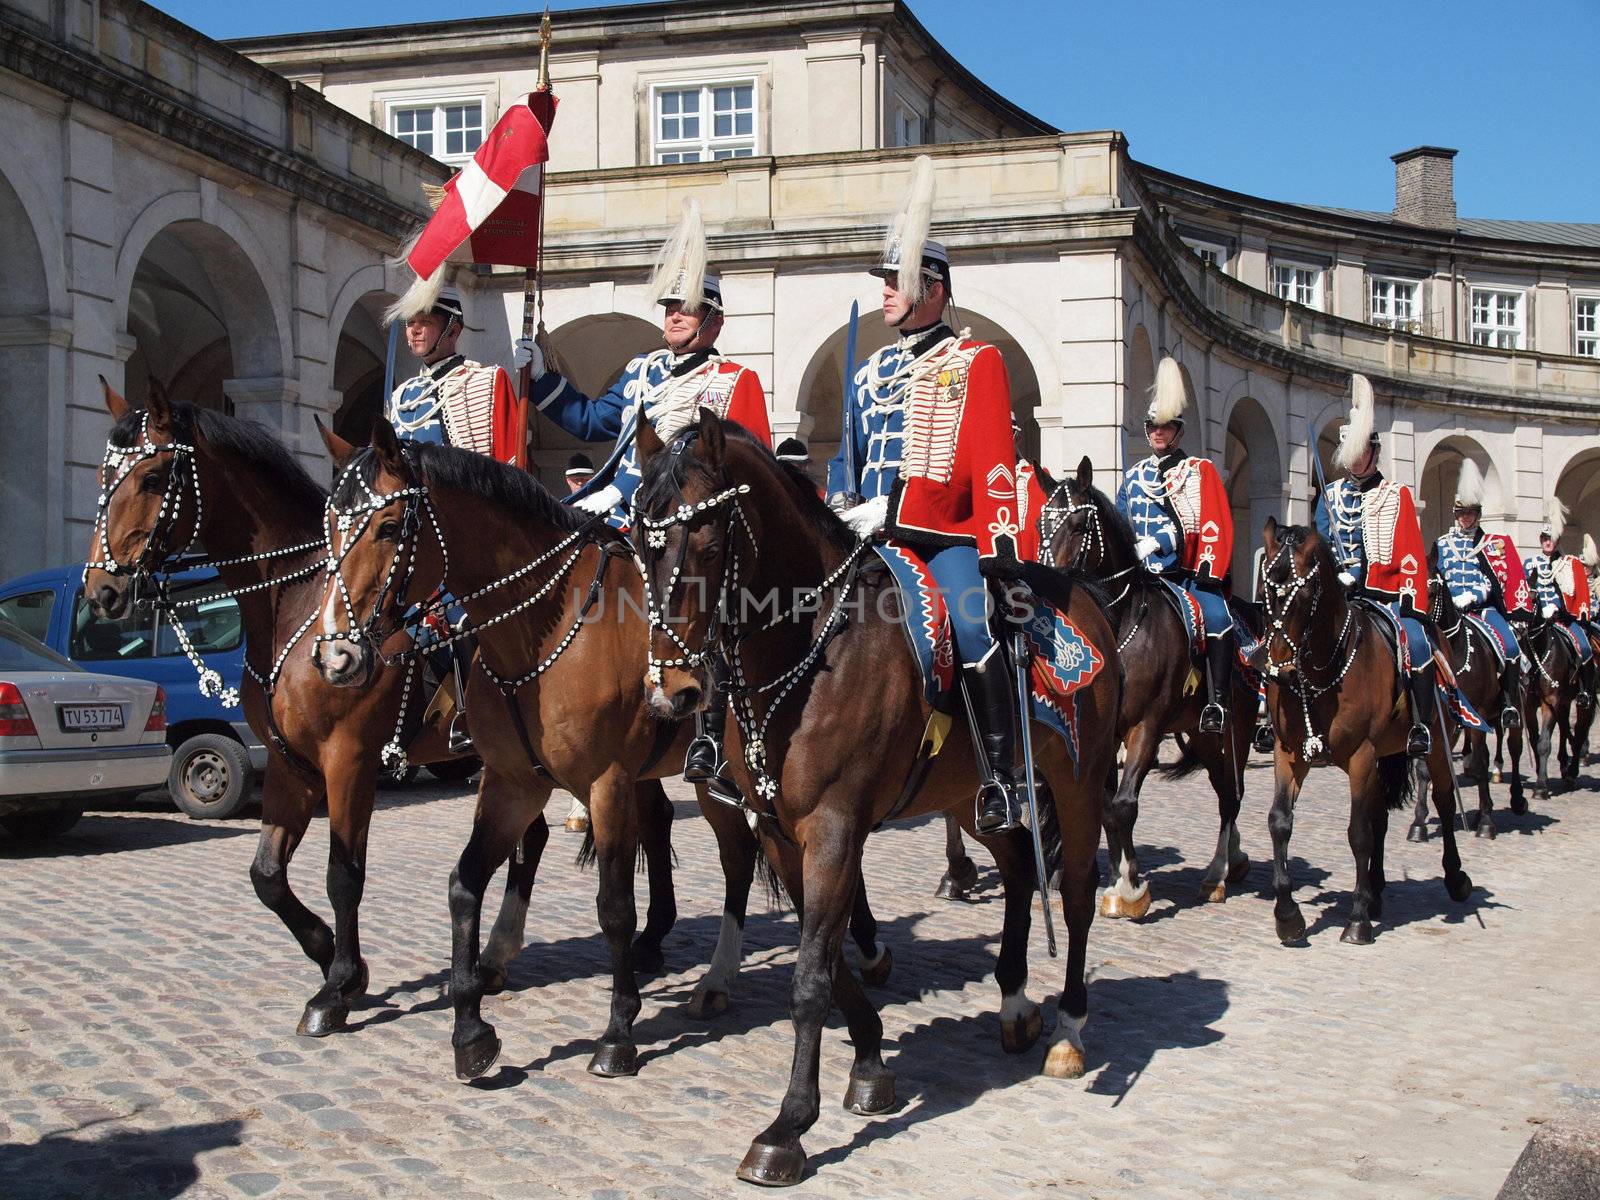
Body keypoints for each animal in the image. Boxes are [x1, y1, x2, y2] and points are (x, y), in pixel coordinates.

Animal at [79, 382, 643, 1036]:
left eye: (152, 477)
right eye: (101, 475)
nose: (102, 592)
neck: (294, 612)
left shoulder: (348, 759)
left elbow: (343, 874)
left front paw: (340, 985)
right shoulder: (289, 764)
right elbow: (267, 876)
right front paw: (331, 957)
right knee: (532, 839)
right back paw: (496, 958)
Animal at [305, 425, 896, 1088]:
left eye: (387, 526)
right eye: (329, 526)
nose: (334, 657)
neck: (545, 628)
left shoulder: (607, 782)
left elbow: (613, 906)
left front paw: (618, 1033)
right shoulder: (512, 783)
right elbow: (465, 884)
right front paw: (470, 1029)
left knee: (747, 859)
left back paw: (777, 965)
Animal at [630, 416, 1120, 1196]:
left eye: (707, 544)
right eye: (639, 543)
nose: (671, 692)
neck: (812, 649)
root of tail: (1082, 594)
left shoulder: (833, 830)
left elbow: (810, 978)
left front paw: (786, 1129)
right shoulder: (782, 833)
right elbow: (828, 963)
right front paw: (868, 1065)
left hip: (1077, 782)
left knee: (1071, 895)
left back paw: (1069, 1031)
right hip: (977, 798)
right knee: (1019, 869)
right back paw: (1015, 1006)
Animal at [1036, 457, 1260, 908]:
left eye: (1079, 525)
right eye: (1038, 524)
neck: (1117, 623)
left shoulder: (1147, 726)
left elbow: (1123, 805)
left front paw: (1130, 888)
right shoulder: (1102, 734)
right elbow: (1105, 808)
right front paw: (1114, 875)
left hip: (1235, 731)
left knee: (1232, 795)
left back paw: (1217, 873)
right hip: (1203, 737)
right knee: (1225, 790)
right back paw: (1234, 860)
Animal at [1260, 521, 1472, 953]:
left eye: (1304, 595)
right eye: (1268, 592)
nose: (1279, 671)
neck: (1322, 669)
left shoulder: (1360, 756)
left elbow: (1358, 833)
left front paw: (1356, 921)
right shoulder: (1290, 754)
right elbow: (1280, 822)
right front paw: (1288, 917)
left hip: (1432, 747)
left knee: (1442, 802)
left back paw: (1454, 876)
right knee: (1380, 817)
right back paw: (1374, 892)